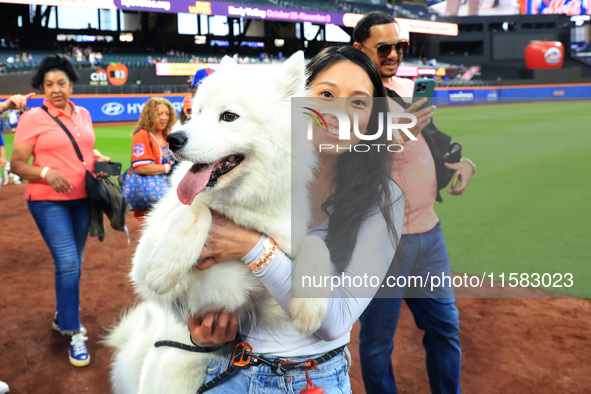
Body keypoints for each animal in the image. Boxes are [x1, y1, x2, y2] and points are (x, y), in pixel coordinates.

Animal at [107, 53, 332, 394]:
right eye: (197, 112)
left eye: (229, 116)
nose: (173, 139)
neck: (241, 206)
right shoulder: (142, 265)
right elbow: (197, 210)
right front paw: (165, 269)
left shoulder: (270, 288)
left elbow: (315, 242)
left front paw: (310, 308)